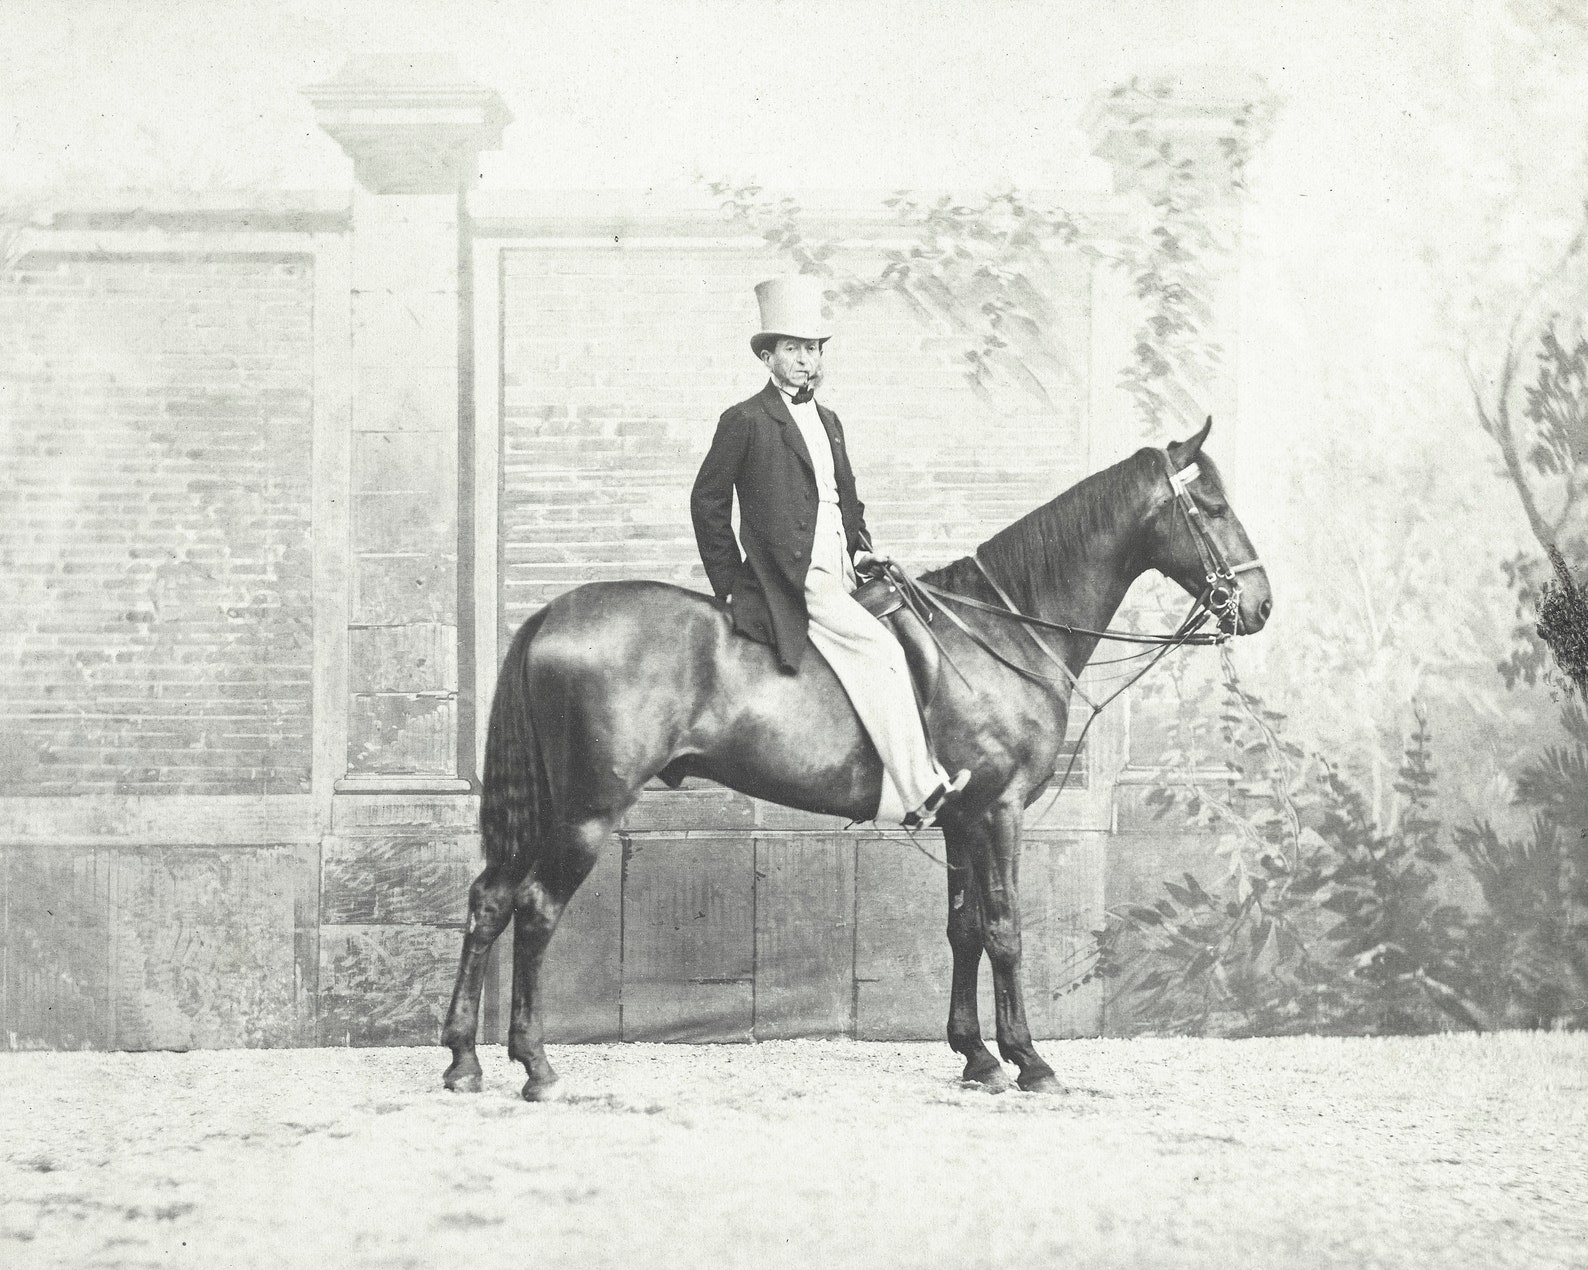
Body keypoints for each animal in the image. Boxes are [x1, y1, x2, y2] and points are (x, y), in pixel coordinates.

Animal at [441, 418, 1272, 1099]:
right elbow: (1004, 929)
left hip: (549, 812)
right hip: (586, 812)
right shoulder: (999, 812)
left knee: (489, 901)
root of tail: (553, 613)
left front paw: (976, 1056)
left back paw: (463, 1059)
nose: (1259, 605)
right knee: (535, 910)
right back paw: (536, 1065)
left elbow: (964, 928)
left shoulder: (962, 818)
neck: (998, 631)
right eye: (1213, 507)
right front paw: (1029, 1060)